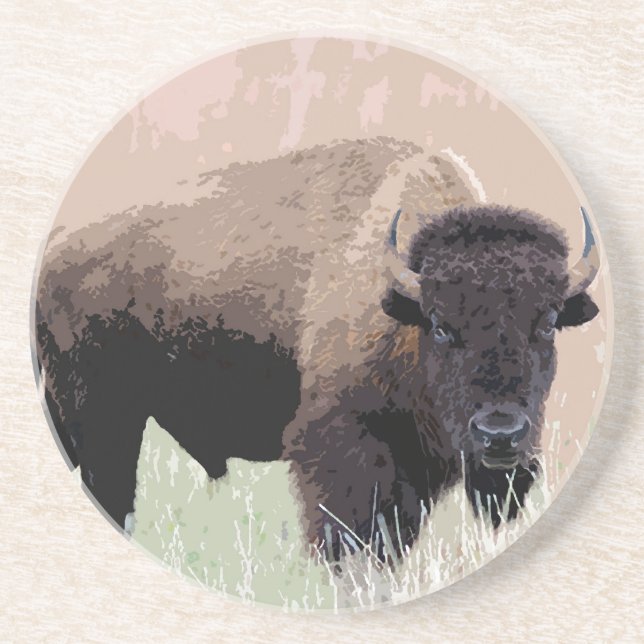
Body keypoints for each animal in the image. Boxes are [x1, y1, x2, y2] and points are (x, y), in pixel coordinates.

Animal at [33, 137, 599, 559]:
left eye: (548, 322)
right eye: (440, 326)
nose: (500, 433)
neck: (401, 299)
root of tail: (53, 257)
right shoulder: (346, 449)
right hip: (101, 422)